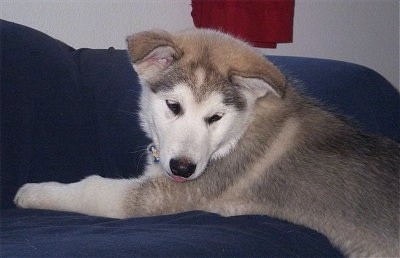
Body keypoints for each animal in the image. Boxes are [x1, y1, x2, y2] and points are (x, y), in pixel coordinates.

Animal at [14, 29, 398, 256]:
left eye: (215, 117)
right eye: (173, 106)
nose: (183, 169)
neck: (241, 129)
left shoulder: (154, 196)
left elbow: (92, 188)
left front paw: (33, 192)